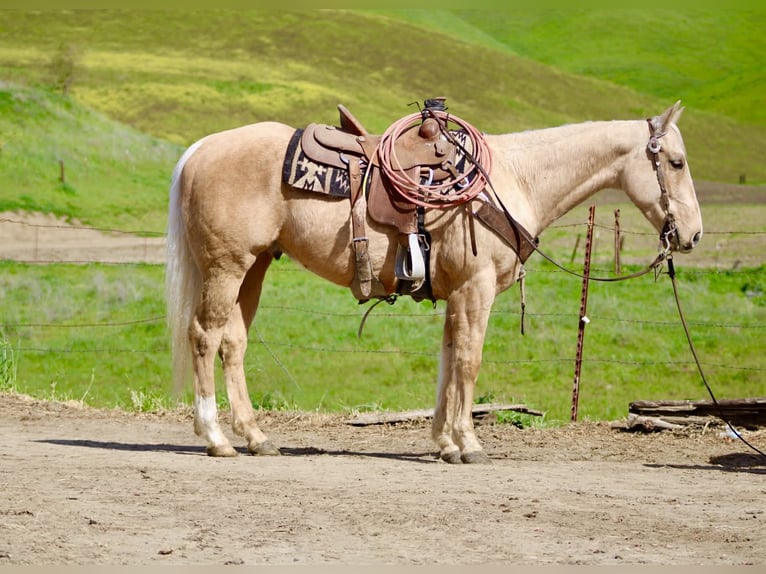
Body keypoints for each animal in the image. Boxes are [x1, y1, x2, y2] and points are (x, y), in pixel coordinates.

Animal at [165, 101, 702, 464]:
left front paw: (445, 442)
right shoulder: (475, 289)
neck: (513, 179)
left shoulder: (456, 294)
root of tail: (200, 149)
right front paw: (469, 444)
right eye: (676, 162)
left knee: (233, 343)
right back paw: (215, 438)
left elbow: (448, 362)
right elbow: (468, 361)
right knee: (205, 336)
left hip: (253, 267)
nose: (693, 234)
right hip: (226, 266)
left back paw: (256, 437)